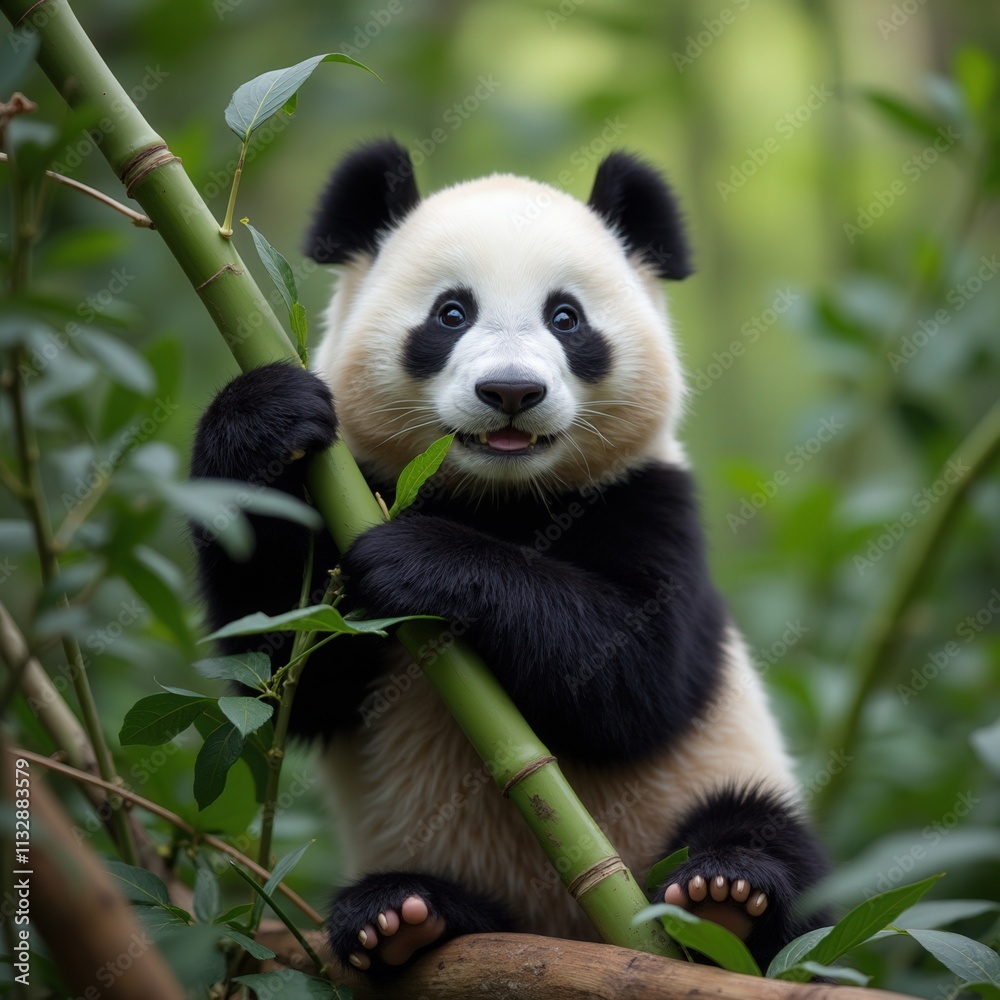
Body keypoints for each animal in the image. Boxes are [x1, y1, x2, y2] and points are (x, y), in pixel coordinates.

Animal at [191, 139, 829, 980]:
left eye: (566, 318)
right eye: (450, 313)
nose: (511, 392)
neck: (500, 497)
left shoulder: (649, 500)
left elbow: (640, 675)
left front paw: (416, 559)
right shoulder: (346, 487)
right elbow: (280, 669)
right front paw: (263, 416)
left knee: (771, 840)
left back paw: (727, 892)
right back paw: (401, 917)